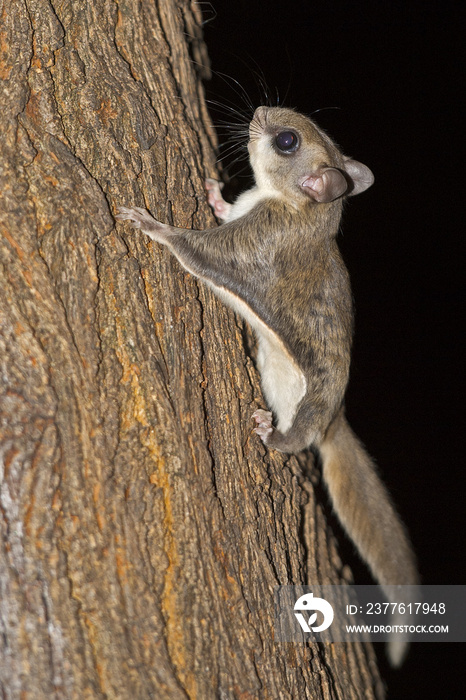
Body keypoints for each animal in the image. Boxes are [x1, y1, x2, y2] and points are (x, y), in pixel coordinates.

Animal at [116, 106, 418, 664]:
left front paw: (150, 224)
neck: (297, 209)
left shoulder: (252, 244)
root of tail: (333, 420)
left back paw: (270, 432)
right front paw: (214, 193)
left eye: (286, 141)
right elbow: (222, 211)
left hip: (306, 407)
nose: (258, 112)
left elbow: (192, 247)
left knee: (296, 441)